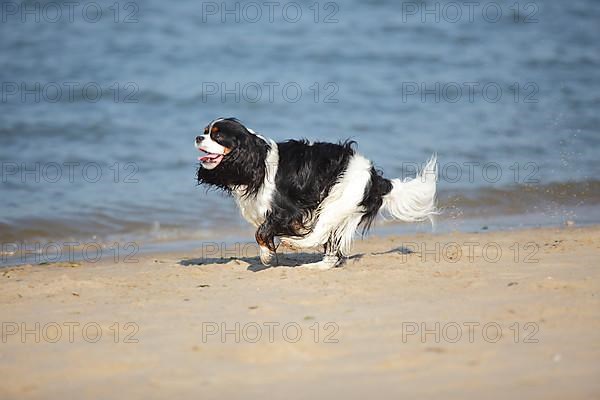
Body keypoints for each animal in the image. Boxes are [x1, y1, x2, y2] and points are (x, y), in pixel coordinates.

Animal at [197, 117, 436, 270]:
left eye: (217, 136)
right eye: (206, 131)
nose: (198, 137)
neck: (257, 160)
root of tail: (374, 175)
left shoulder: (288, 210)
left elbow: (262, 231)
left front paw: (268, 254)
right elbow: (262, 233)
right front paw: (267, 253)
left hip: (336, 202)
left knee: (319, 232)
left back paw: (294, 244)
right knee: (332, 250)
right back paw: (317, 266)